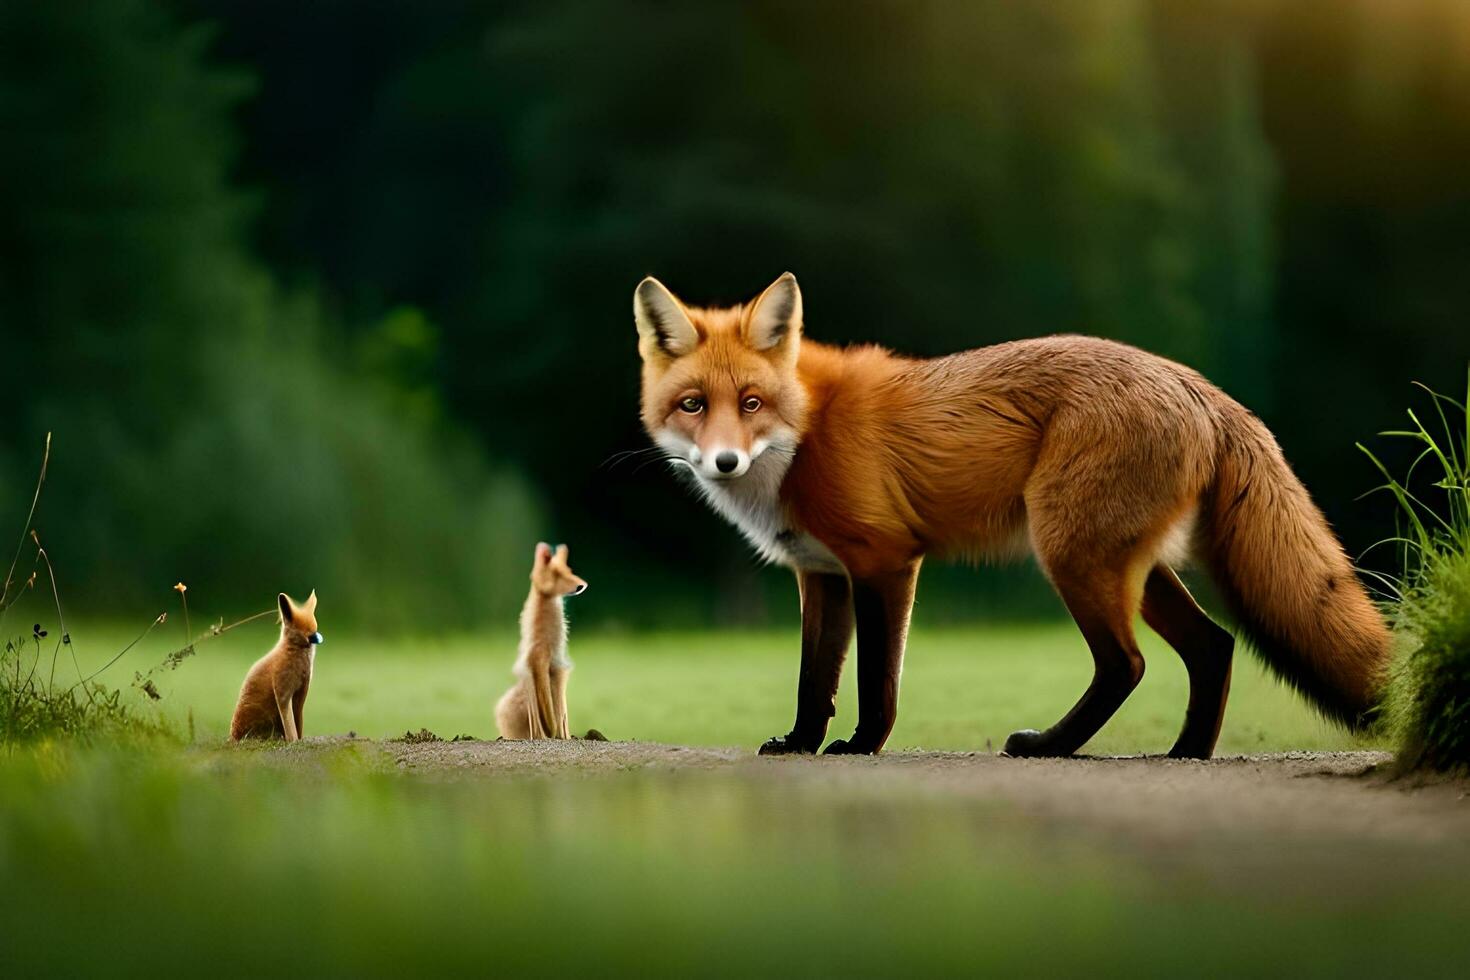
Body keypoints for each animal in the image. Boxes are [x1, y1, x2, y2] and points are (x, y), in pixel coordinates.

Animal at [230, 590, 323, 743]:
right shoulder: (283, 692)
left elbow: (298, 724)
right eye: (299, 628)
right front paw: (293, 741)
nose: (315, 638)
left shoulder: (301, 693)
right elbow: (291, 727)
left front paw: (299, 740)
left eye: (314, 627)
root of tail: (232, 738)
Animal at [493, 540, 585, 740]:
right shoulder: (542, 666)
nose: (582, 586)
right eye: (557, 574)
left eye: (569, 570)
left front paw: (563, 737)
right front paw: (553, 735)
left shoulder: (558, 669)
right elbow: (552, 715)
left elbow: (561, 713)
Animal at [632, 274, 1387, 758]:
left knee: (1127, 664)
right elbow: (813, 680)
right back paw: (1186, 753)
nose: (724, 462)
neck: (805, 431)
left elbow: (876, 680)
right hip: (1130, 566)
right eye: (694, 404)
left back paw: (1051, 747)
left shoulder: (884, 561)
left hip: (1071, 555)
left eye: (751, 403)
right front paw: (799, 744)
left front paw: (859, 747)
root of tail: (1201, 386)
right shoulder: (820, 573)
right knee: (1214, 646)